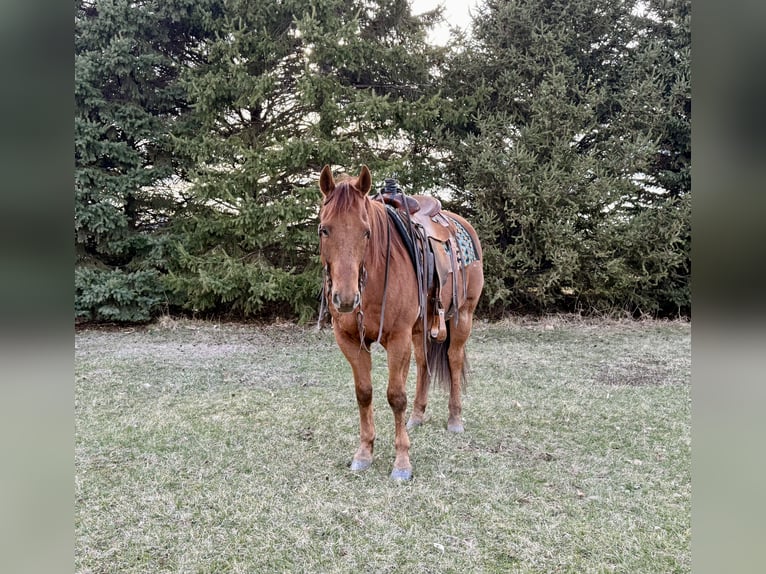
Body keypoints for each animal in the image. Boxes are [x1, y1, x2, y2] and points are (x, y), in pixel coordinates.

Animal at [317, 164, 484, 480]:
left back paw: (455, 418)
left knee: (454, 359)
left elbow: (395, 396)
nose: (345, 298)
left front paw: (402, 462)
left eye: (366, 232)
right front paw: (364, 452)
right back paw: (417, 415)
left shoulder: (397, 338)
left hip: (463, 315)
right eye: (324, 229)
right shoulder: (350, 341)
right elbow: (364, 393)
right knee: (423, 363)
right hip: (420, 329)